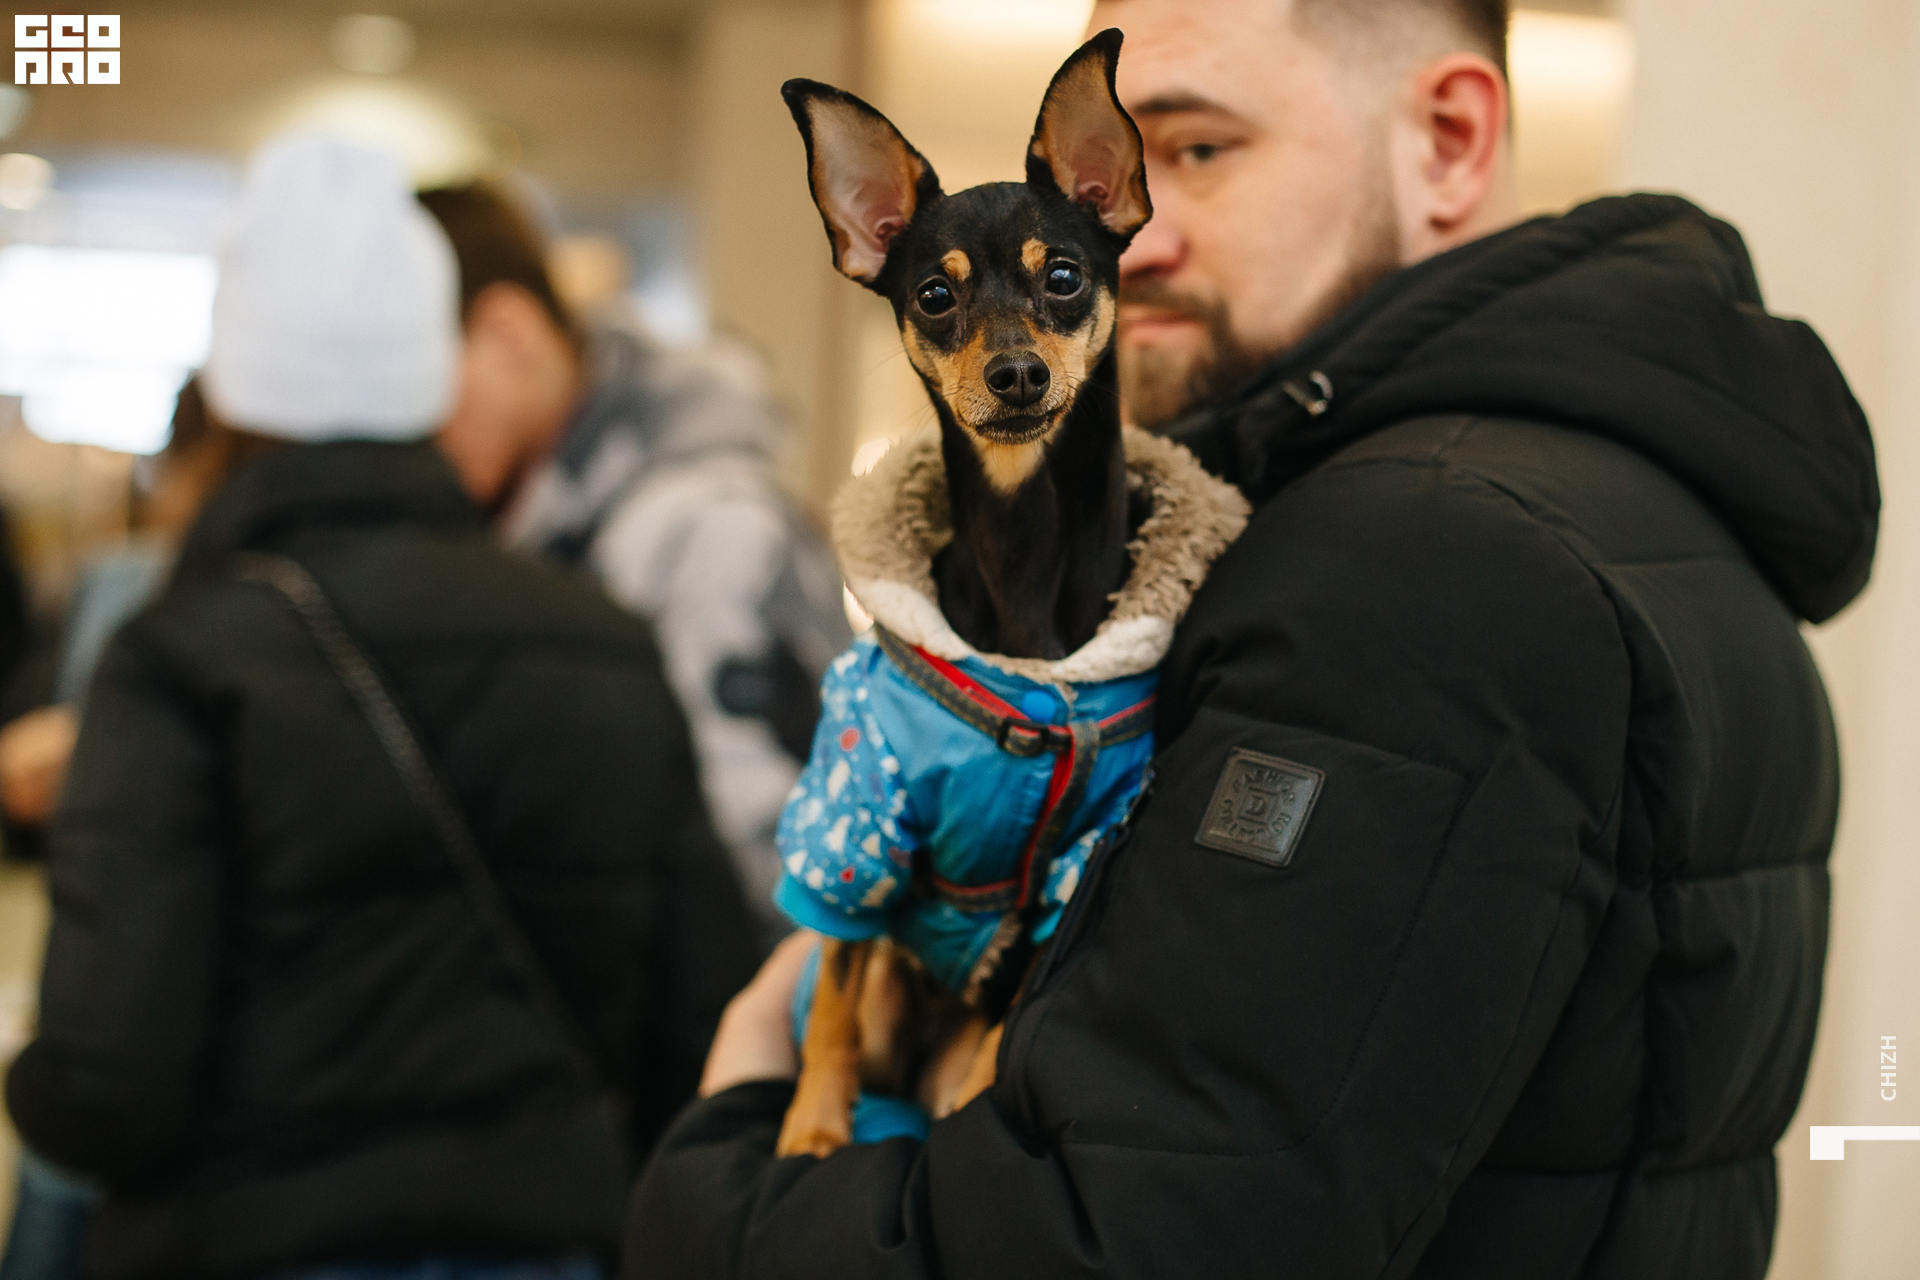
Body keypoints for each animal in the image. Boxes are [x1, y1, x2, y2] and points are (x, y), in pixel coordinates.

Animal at [774, 30, 1163, 1159]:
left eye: (1065, 277)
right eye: (934, 299)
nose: (1018, 374)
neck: (1019, 546)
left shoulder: (1080, 859)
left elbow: (1016, 1003)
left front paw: (974, 1082)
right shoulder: (855, 828)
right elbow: (836, 988)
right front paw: (813, 1126)